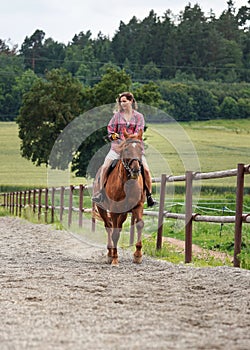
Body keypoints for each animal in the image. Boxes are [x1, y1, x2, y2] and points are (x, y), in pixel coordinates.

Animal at [93, 130, 145, 264]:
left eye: (141, 149)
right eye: (126, 149)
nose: (136, 170)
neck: (127, 184)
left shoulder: (138, 206)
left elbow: (139, 225)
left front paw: (138, 255)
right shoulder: (114, 210)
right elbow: (114, 233)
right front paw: (115, 259)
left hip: (123, 213)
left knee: (117, 226)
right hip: (102, 209)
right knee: (109, 227)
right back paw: (110, 253)